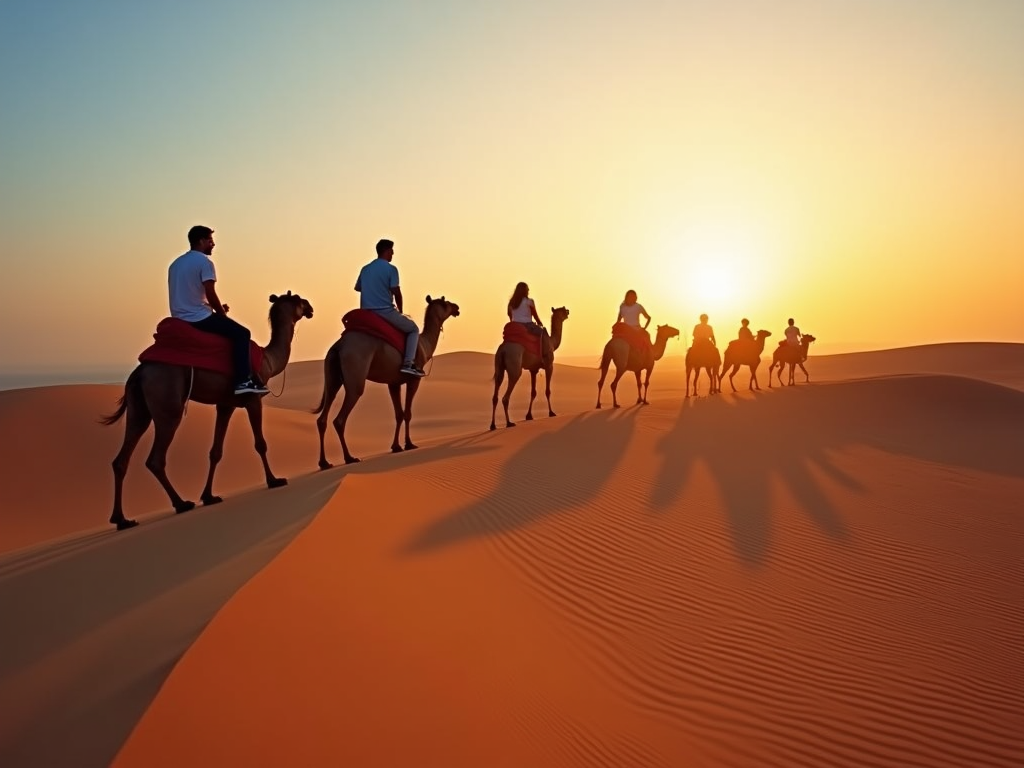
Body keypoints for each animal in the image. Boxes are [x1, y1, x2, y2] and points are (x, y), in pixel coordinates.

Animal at [102, 290, 315, 532]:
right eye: (298, 299)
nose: (310, 307)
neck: (268, 361)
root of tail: (140, 372)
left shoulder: (225, 405)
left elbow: (215, 451)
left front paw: (209, 496)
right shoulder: (253, 400)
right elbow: (260, 443)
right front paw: (274, 480)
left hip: (138, 408)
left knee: (122, 458)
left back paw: (122, 519)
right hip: (168, 404)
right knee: (155, 457)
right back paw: (181, 503)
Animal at [309, 294, 458, 466]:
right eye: (445, 303)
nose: (457, 307)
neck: (423, 345)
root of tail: (339, 346)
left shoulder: (393, 383)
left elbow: (398, 414)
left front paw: (396, 446)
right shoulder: (414, 380)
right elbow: (408, 413)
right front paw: (409, 444)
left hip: (332, 373)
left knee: (324, 414)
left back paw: (324, 463)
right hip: (355, 370)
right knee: (341, 417)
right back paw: (349, 457)